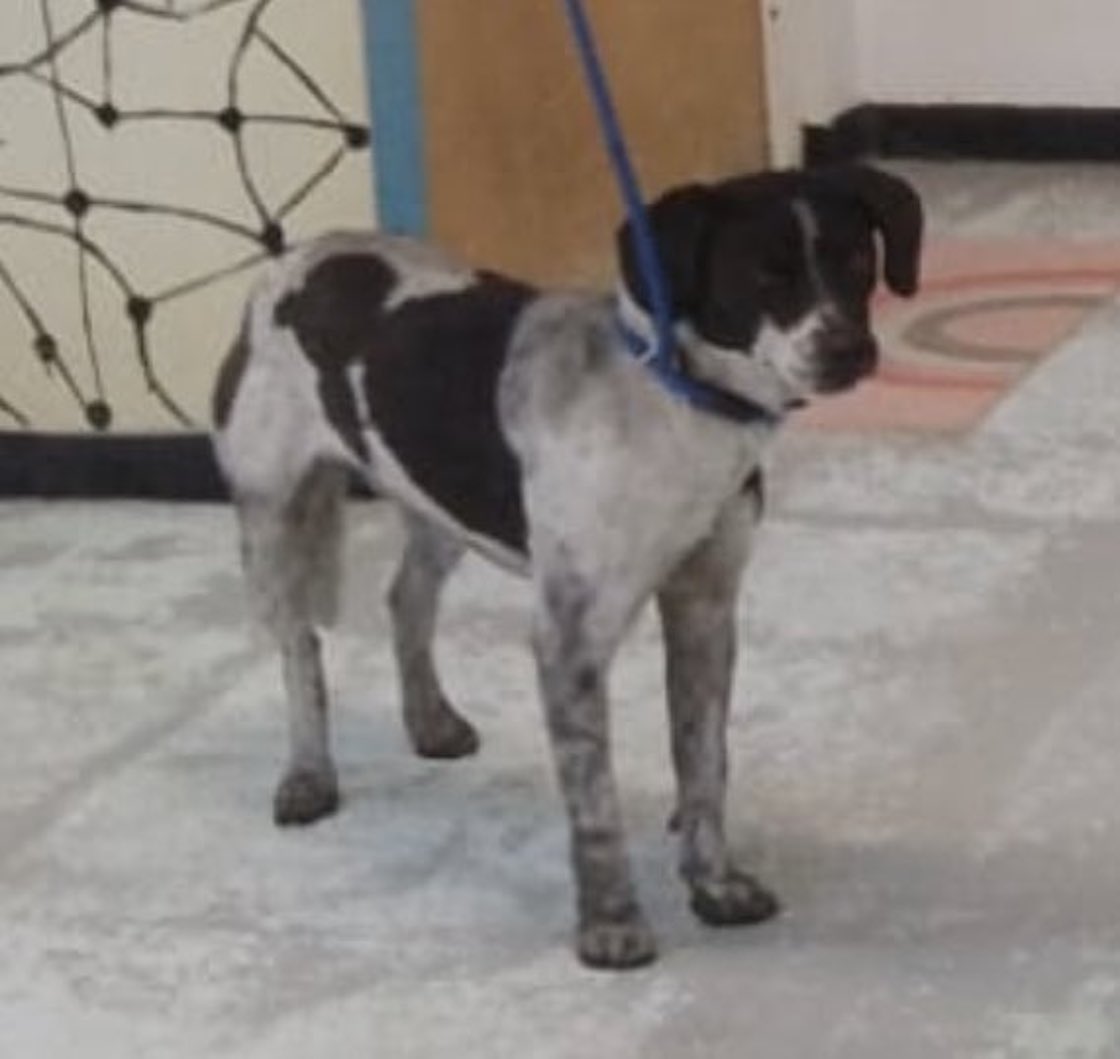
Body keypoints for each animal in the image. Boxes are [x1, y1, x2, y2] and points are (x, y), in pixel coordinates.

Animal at [211, 164, 923, 970]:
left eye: (857, 263)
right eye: (763, 273)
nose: (850, 350)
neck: (677, 407)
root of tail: (296, 258)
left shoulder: (705, 607)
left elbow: (706, 763)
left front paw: (715, 885)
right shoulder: (571, 638)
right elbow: (595, 804)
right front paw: (611, 925)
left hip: (440, 504)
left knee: (406, 600)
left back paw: (431, 721)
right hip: (270, 520)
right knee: (301, 649)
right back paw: (308, 775)